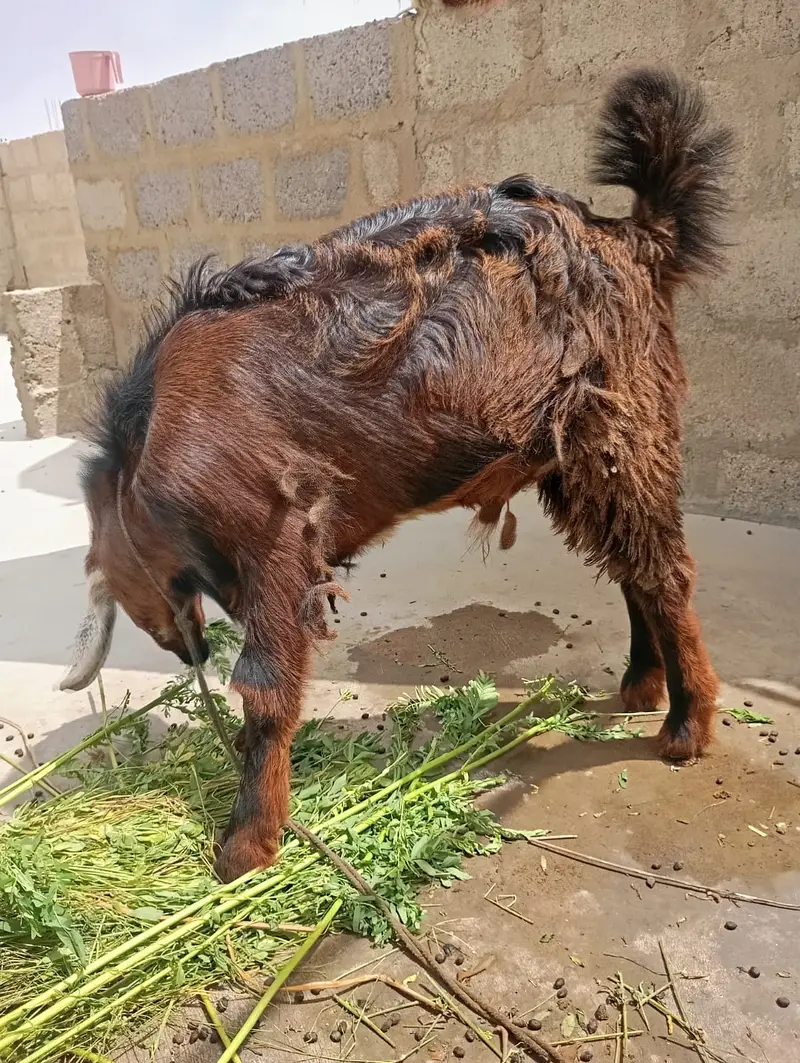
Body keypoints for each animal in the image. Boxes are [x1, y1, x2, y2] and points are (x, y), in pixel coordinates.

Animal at [62, 69, 732, 882]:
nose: (185, 652)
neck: (153, 435)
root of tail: (635, 239)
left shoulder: (276, 541)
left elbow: (266, 683)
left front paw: (247, 846)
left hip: (625, 431)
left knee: (665, 570)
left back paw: (687, 726)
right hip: (579, 456)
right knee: (633, 563)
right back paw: (641, 685)